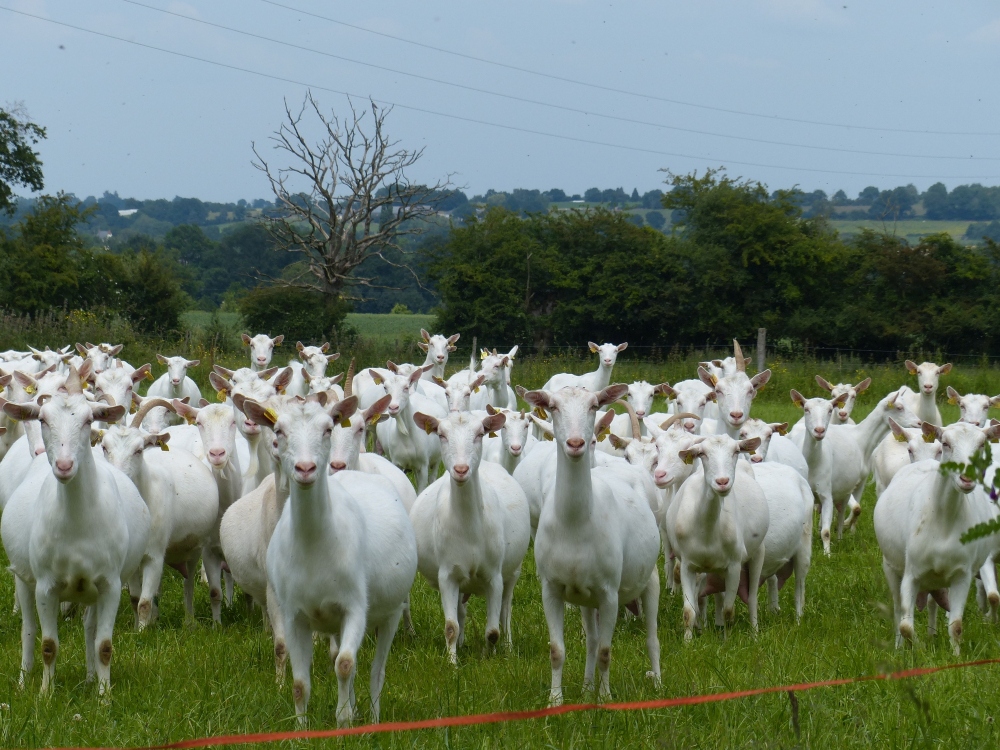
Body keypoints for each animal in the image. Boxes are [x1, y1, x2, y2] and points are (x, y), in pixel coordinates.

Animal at [408, 412, 532, 664]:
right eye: (441, 435)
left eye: (480, 433)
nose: (461, 469)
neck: (470, 530)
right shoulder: (447, 574)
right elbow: (451, 626)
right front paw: (452, 663)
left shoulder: (494, 575)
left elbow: (493, 630)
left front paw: (488, 658)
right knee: (461, 611)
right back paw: (463, 642)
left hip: (513, 571)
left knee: (506, 611)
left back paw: (508, 648)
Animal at [520, 384, 660, 708]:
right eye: (553, 406)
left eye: (595, 405)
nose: (575, 443)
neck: (575, 524)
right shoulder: (552, 589)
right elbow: (557, 649)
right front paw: (556, 701)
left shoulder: (609, 593)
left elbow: (607, 651)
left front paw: (605, 699)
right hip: (586, 598)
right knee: (592, 642)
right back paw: (585, 689)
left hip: (650, 579)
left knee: (652, 637)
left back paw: (658, 684)